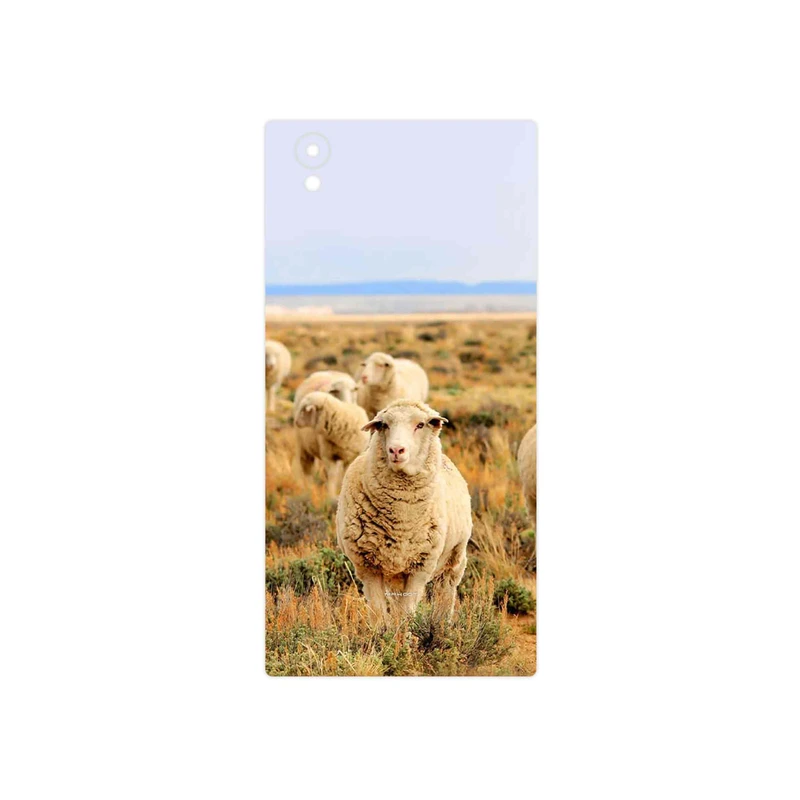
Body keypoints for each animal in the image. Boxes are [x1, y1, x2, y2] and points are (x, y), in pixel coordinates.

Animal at [336, 399, 472, 623]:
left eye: (420, 425)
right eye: (384, 425)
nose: (396, 450)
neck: (401, 519)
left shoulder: (420, 567)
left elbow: (406, 613)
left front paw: (405, 632)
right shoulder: (367, 566)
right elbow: (379, 613)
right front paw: (383, 631)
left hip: (454, 557)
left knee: (446, 591)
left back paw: (442, 623)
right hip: (395, 573)